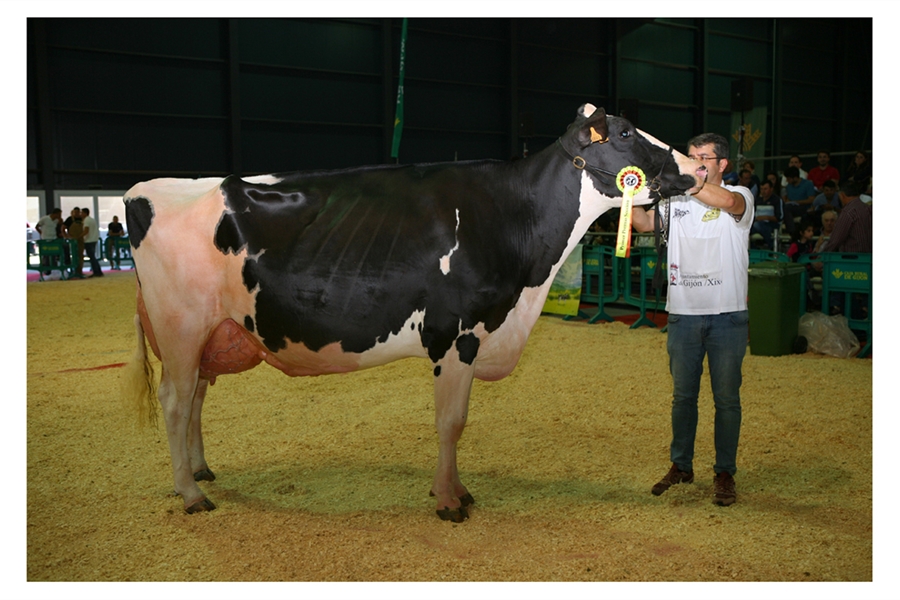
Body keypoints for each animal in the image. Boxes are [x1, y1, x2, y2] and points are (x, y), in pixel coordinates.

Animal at [125, 103, 704, 520]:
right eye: (625, 133)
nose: (698, 167)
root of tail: (144, 189)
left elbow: (458, 419)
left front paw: (458, 490)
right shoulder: (457, 334)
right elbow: (451, 421)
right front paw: (448, 502)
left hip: (210, 332)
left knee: (196, 397)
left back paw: (201, 471)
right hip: (181, 327)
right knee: (176, 401)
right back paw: (190, 494)